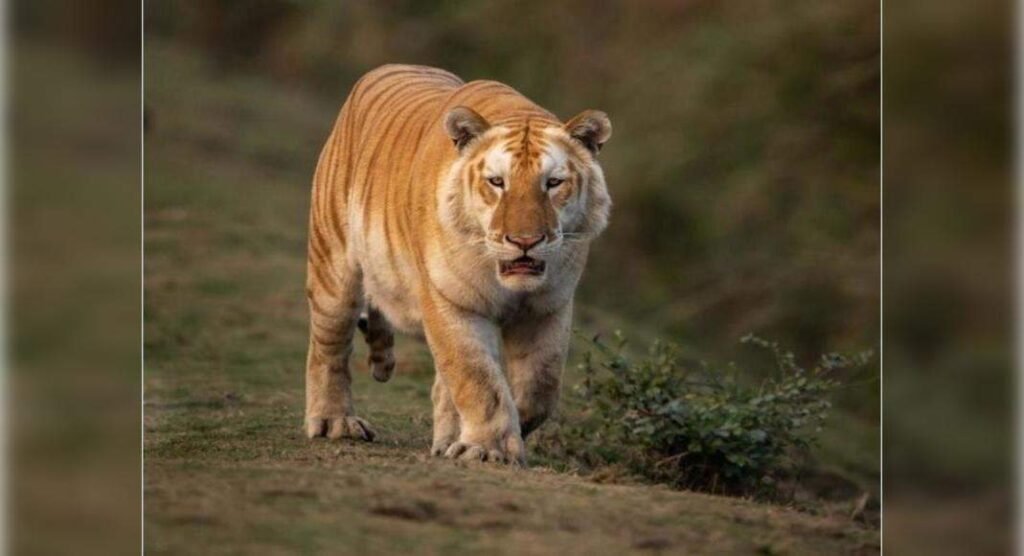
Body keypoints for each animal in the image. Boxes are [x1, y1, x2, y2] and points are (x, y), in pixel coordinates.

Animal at [301, 65, 606, 464]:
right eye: (497, 182)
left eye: (553, 183)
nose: (524, 241)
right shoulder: (451, 301)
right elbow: (478, 380)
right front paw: (488, 449)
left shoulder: (549, 307)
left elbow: (540, 386)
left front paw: (483, 439)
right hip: (333, 267)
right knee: (330, 345)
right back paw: (334, 422)